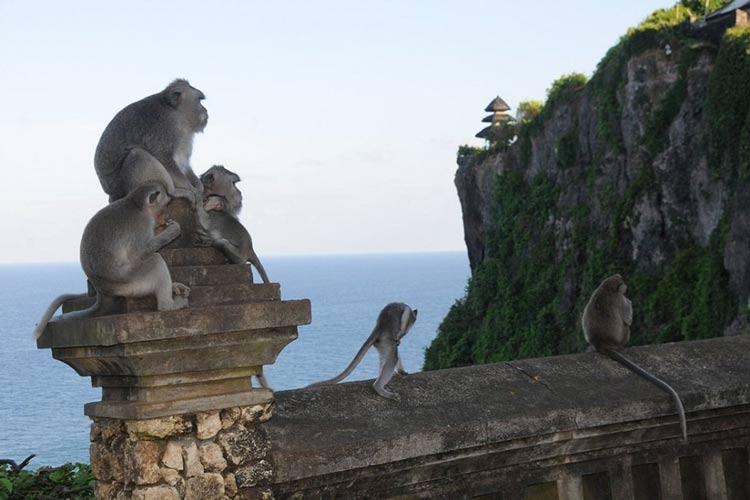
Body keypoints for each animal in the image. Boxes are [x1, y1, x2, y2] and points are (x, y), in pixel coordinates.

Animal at [33, 183, 191, 340]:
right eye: (165, 206)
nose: (168, 216)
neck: (135, 204)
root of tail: (103, 291)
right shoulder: (142, 224)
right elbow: (140, 253)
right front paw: (173, 230)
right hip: (132, 283)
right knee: (155, 261)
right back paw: (168, 306)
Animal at [584, 274, 692, 442]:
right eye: (623, 283)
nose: (627, 287)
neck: (606, 288)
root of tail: (602, 344)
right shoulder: (620, 299)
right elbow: (628, 317)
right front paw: (630, 302)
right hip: (623, 337)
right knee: (627, 325)